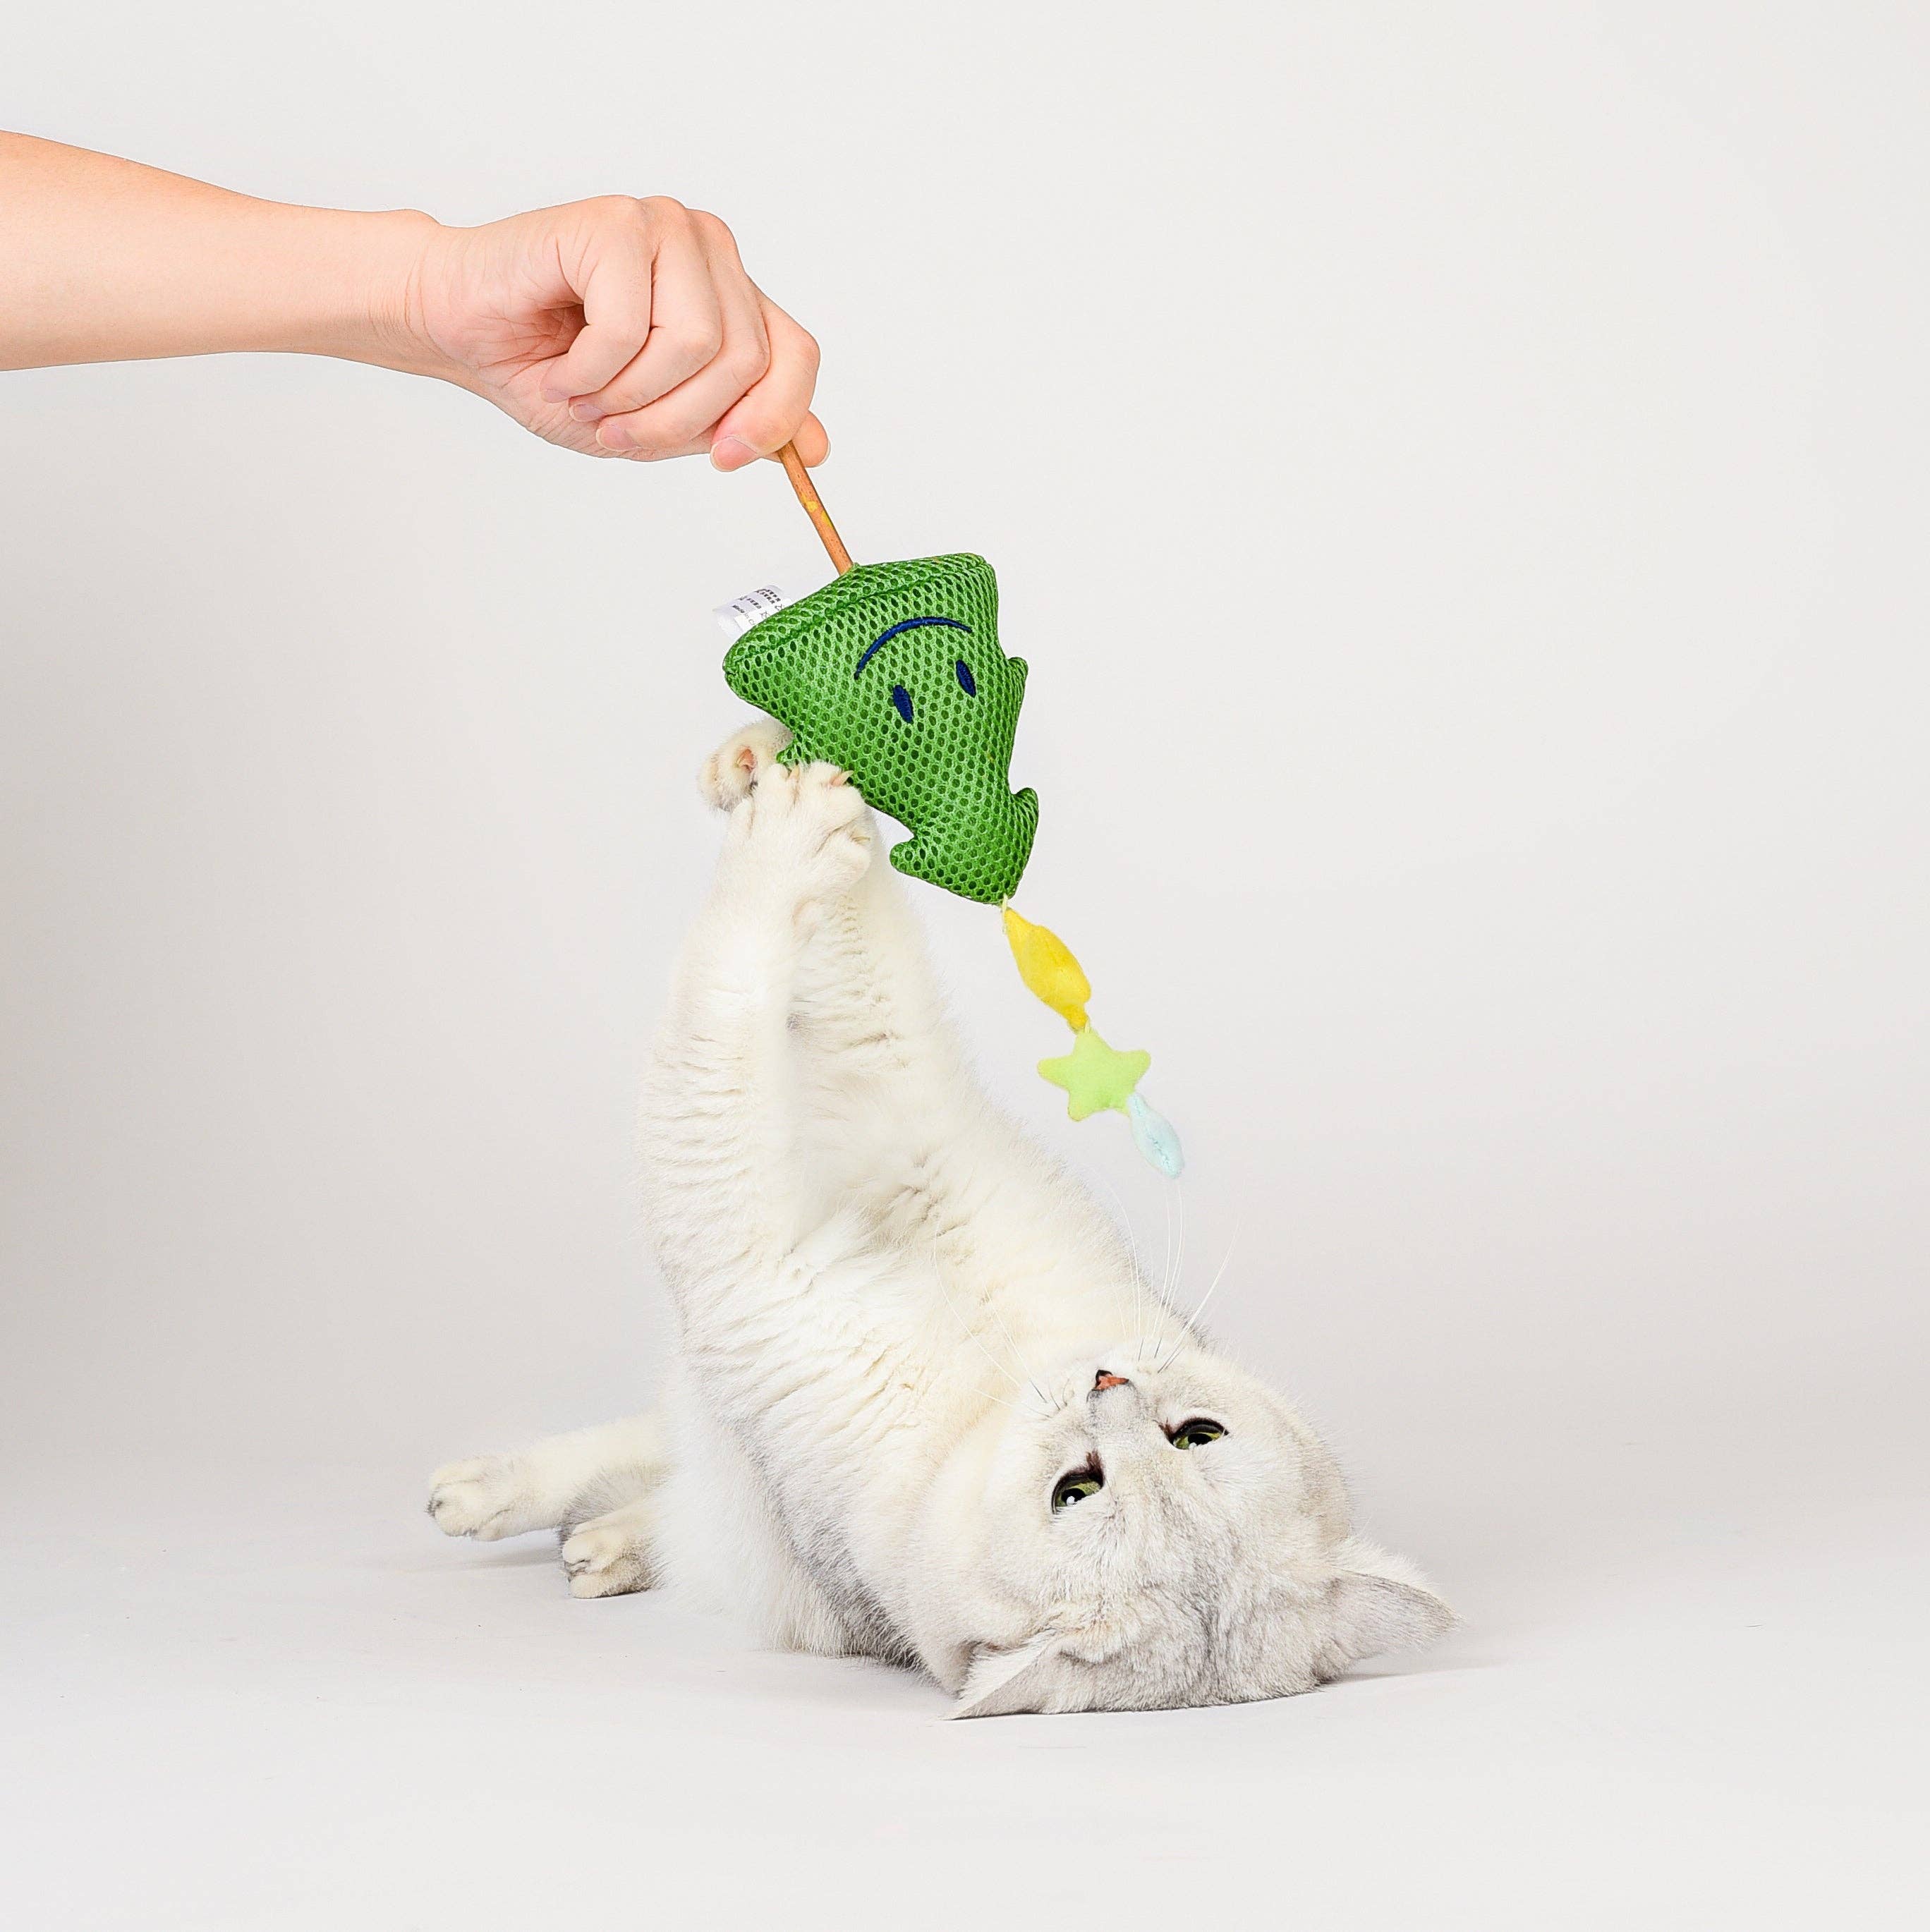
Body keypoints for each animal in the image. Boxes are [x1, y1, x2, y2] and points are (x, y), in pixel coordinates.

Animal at [427, 720, 1450, 1716]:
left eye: (1076, 1490)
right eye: (1199, 1433)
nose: (1109, 1383)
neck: (996, 1367)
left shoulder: (749, 1249)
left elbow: (727, 997)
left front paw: (783, 840)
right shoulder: (907, 1116)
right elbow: (861, 974)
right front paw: (764, 759)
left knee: (669, 1495)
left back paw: (583, 1537)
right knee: (643, 1444)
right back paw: (497, 1493)